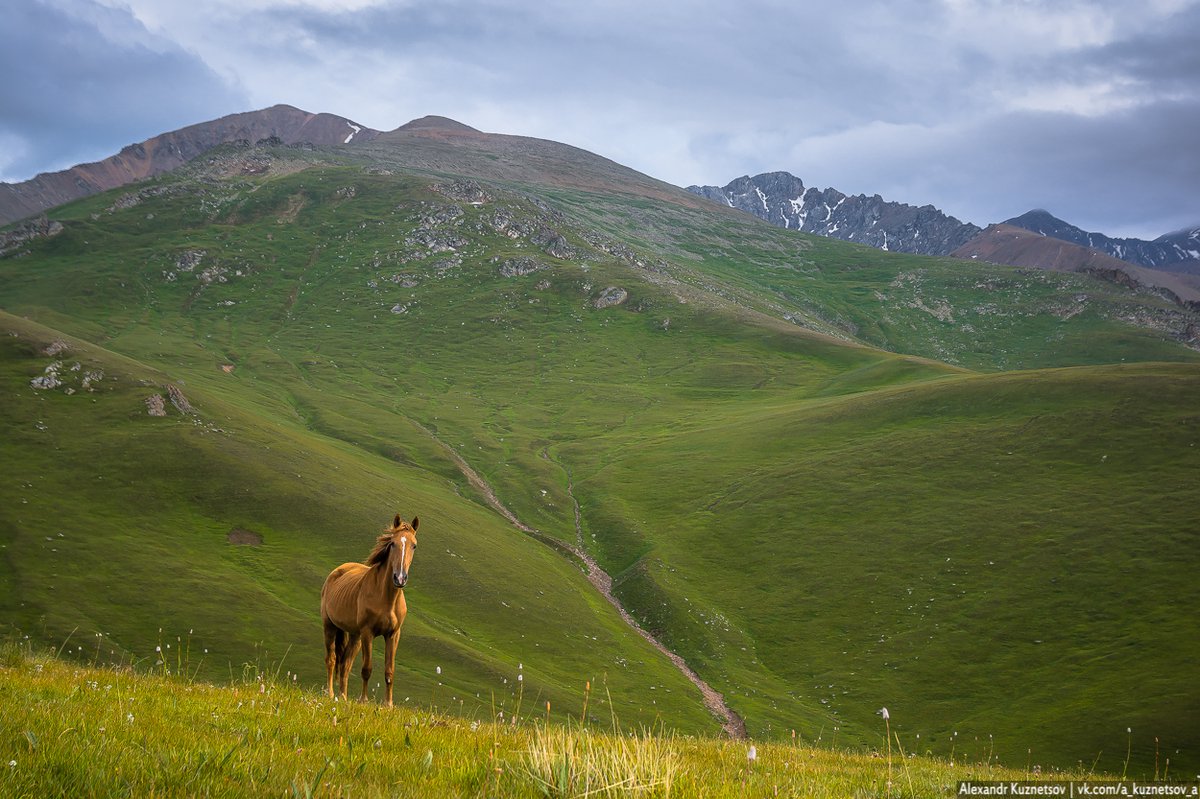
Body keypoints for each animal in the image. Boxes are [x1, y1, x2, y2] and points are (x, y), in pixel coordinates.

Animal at [321, 511, 420, 705]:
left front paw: (388, 704)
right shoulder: (368, 633)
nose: (400, 578)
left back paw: (343, 697)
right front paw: (363, 700)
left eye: (414, 545)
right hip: (330, 626)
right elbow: (367, 668)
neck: (387, 599)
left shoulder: (393, 635)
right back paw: (330, 694)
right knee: (332, 659)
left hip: (355, 636)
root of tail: (337, 571)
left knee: (345, 664)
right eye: (392, 543)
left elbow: (389, 671)